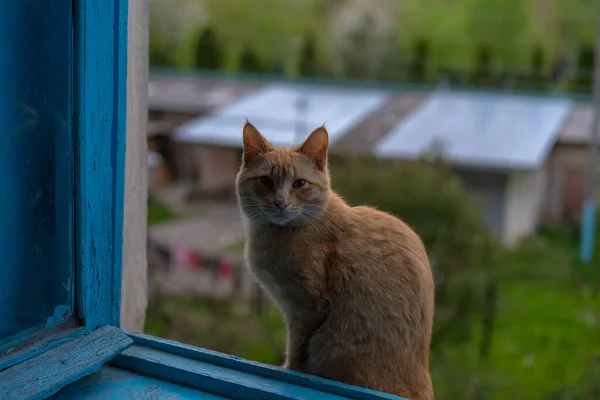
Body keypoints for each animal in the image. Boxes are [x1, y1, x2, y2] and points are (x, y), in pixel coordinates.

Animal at [236, 122, 436, 400]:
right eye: (265, 180)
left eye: (299, 183)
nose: (280, 203)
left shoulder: (306, 308)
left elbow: (297, 350)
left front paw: (290, 371)